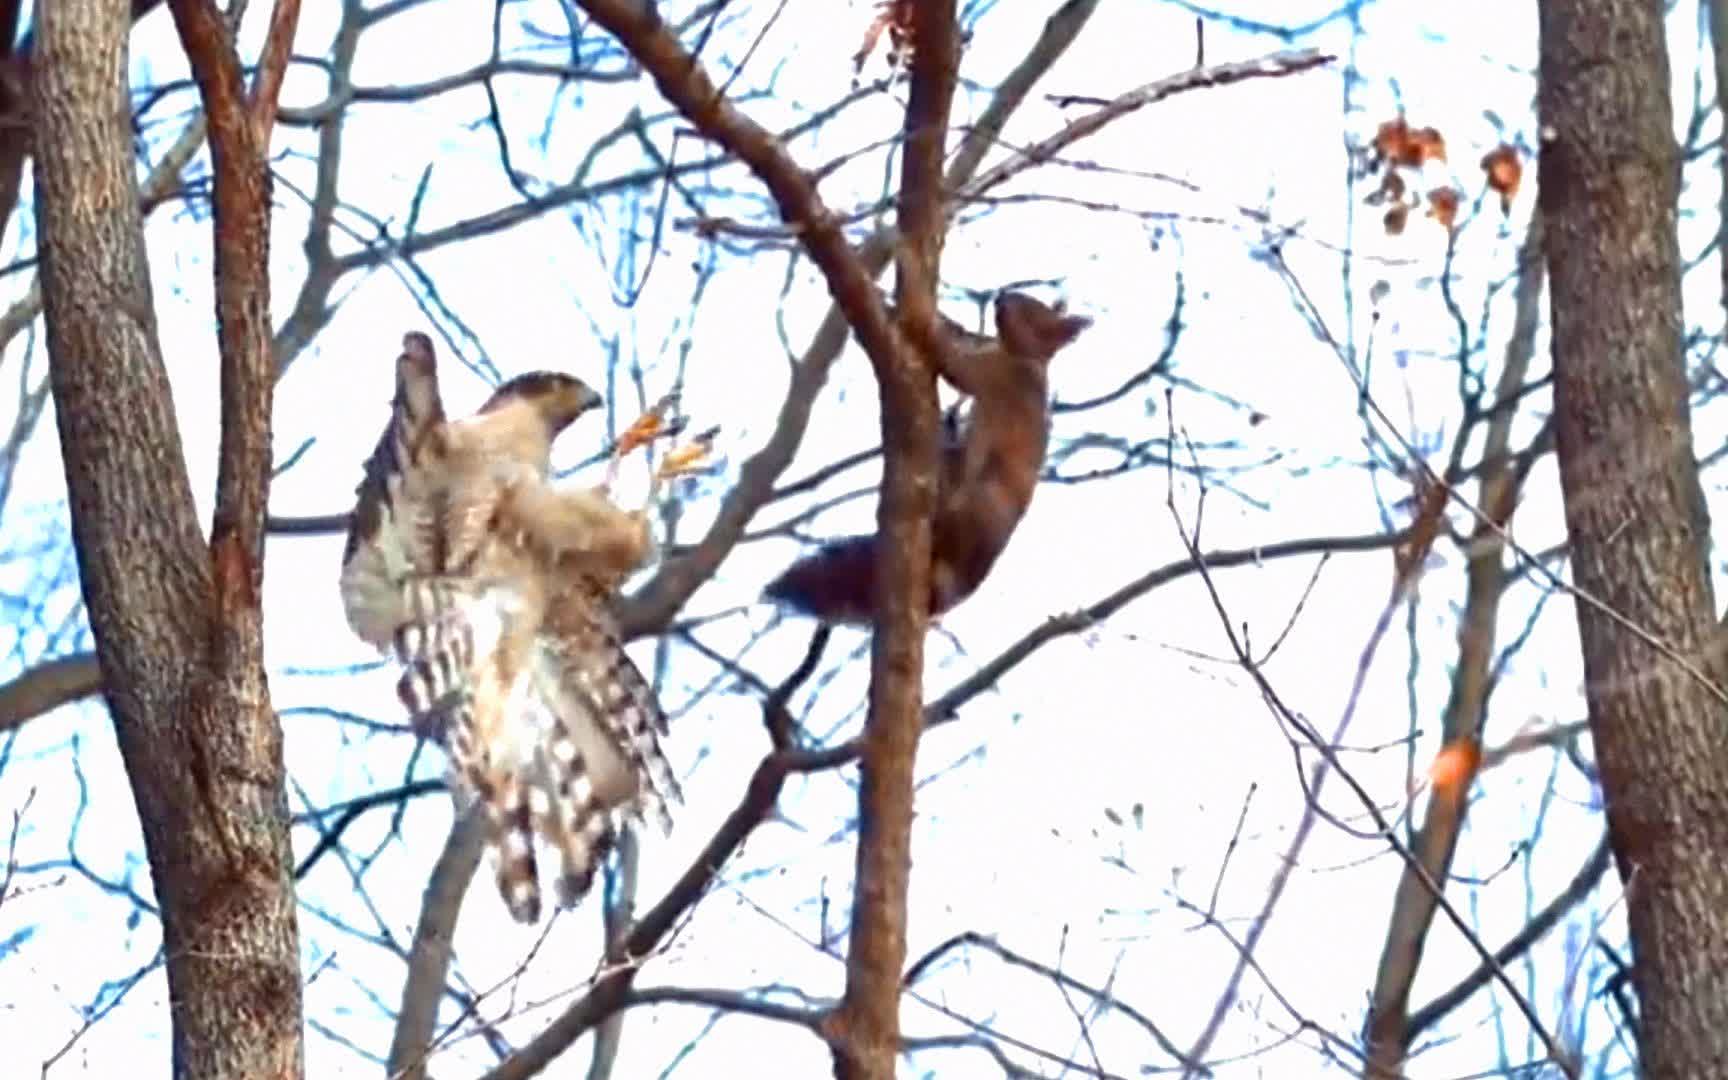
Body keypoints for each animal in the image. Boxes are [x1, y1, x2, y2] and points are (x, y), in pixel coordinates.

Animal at [764, 291, 1091, 623]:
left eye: (1029, 310)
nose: (1000, 297)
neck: (1027, 360)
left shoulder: (994, 375)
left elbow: (954, 364)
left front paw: (920, 322)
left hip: (980, 502)